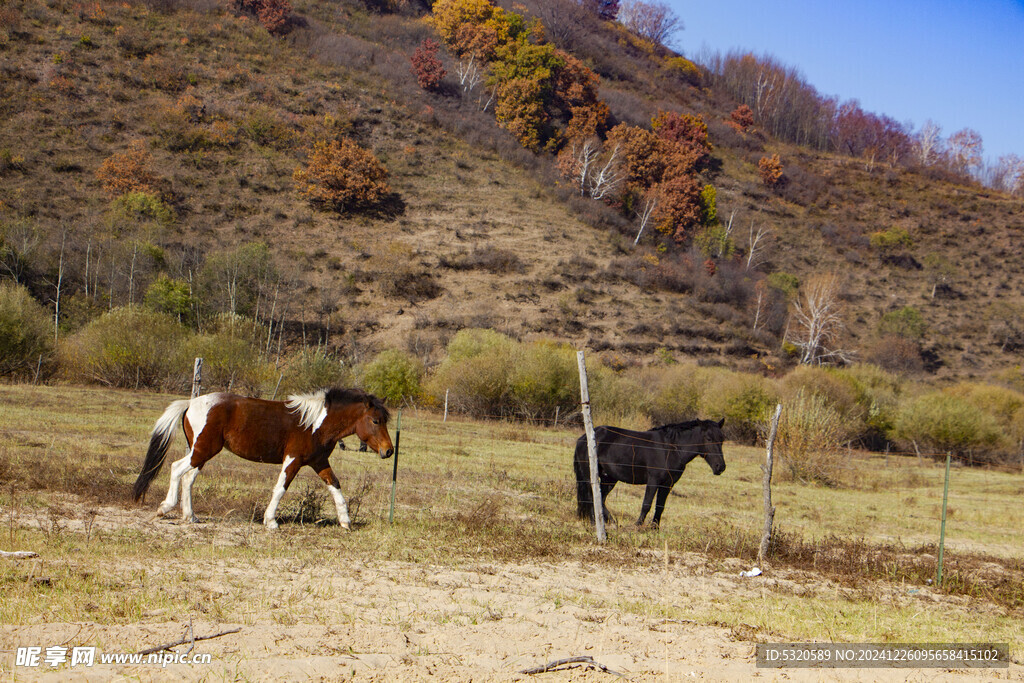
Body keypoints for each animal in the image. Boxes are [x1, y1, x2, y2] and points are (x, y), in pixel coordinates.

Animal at [131, 389, 391, 528]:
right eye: (376, 420)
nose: (389, 451)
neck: (315, 424)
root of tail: (191, 402)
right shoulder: (293, 460)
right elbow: (280, 488)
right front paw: (271, 521)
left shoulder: (319, 462)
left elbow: (335, 486)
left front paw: (345, 522)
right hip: (203, 450)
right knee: (176, 468)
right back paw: (165, 508)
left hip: (201, 453)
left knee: (188, 479)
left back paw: (191, 516)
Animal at [577, 421, 729, 528]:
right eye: (708, 438)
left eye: (722, 439)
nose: (720, 467)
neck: (671, 449)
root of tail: (585, 437)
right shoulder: (653, 480)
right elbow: (647, 504)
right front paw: (638, 525)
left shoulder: (668, 484)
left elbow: (660, 506)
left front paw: (655, 527)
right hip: (590, 476)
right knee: (591, 497)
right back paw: (595, 522)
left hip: (609, 479)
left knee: (601, 499)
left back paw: (612, 522)